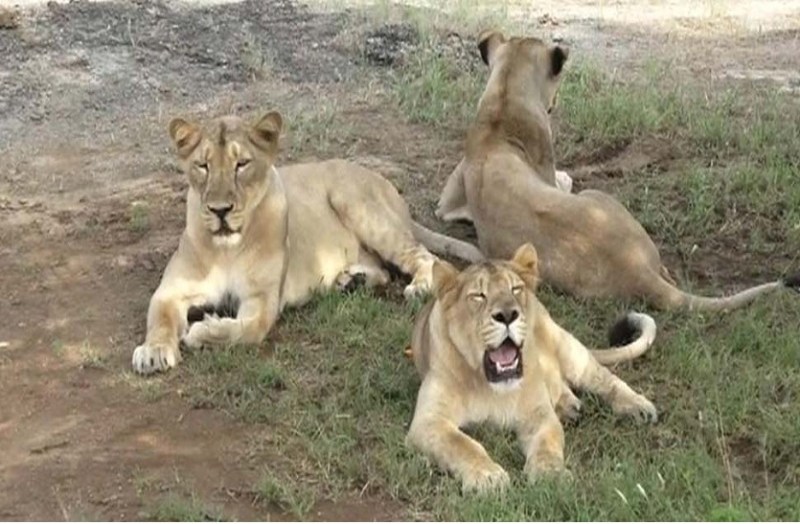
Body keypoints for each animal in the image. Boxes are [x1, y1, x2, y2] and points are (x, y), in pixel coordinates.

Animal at [132, 111, 483, 374]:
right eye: (202, 166)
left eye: (241, 164)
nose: (220, 210)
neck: (226, 248)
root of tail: (387, 185)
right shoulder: (171, 291)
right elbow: (159, 319)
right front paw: (153, 352)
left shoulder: (263, 302)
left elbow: (244, 330)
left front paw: (203, 331)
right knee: (383, 270)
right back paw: (351, 280)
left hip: (356, 202)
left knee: (428, 258)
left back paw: (418, 286)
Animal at [405, 243, 658, 492]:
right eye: (478, 295)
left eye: (515, 289)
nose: (508, 314)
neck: (490, 385)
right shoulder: (429, 420)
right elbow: (462, 444)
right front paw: (488, 477)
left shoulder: (538, 414)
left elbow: (547, 444)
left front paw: (550, 474)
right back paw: (569, 407)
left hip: (566, 346)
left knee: (604, 378)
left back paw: (639, 407)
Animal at [435, 31, 800, 311]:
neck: (504, 98)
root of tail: (637, 271)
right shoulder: (547, 168)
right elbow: (562, 178)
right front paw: (566, 177)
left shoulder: (448, 201)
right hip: (601, 196)